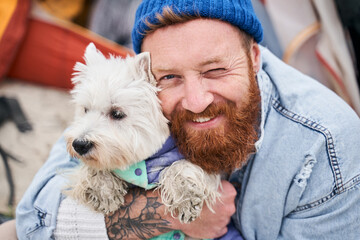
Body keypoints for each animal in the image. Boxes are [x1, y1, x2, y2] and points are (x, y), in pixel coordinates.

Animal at [63, 42, 221, 223]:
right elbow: (92, 168)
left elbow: (181, 166)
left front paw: (186, 196)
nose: (79, 145)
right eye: (85, 109)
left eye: (117, 113)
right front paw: (104, 191)